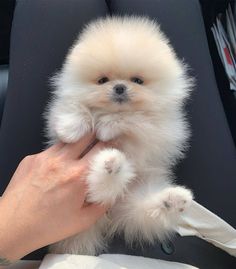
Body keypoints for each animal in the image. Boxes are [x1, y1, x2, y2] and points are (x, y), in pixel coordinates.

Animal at [45, 15, 194, 254]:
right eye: (102, 80)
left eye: (138, 80)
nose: (120, 87)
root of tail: (107, 217)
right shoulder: (62, 107)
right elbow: (73, 107)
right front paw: (71, 129)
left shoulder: (159, 129)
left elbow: (133, 120)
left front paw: (107, 125)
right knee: (100, 189)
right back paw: (112, 163)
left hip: (132, 196)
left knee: (136, 205)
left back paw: (172, 199)